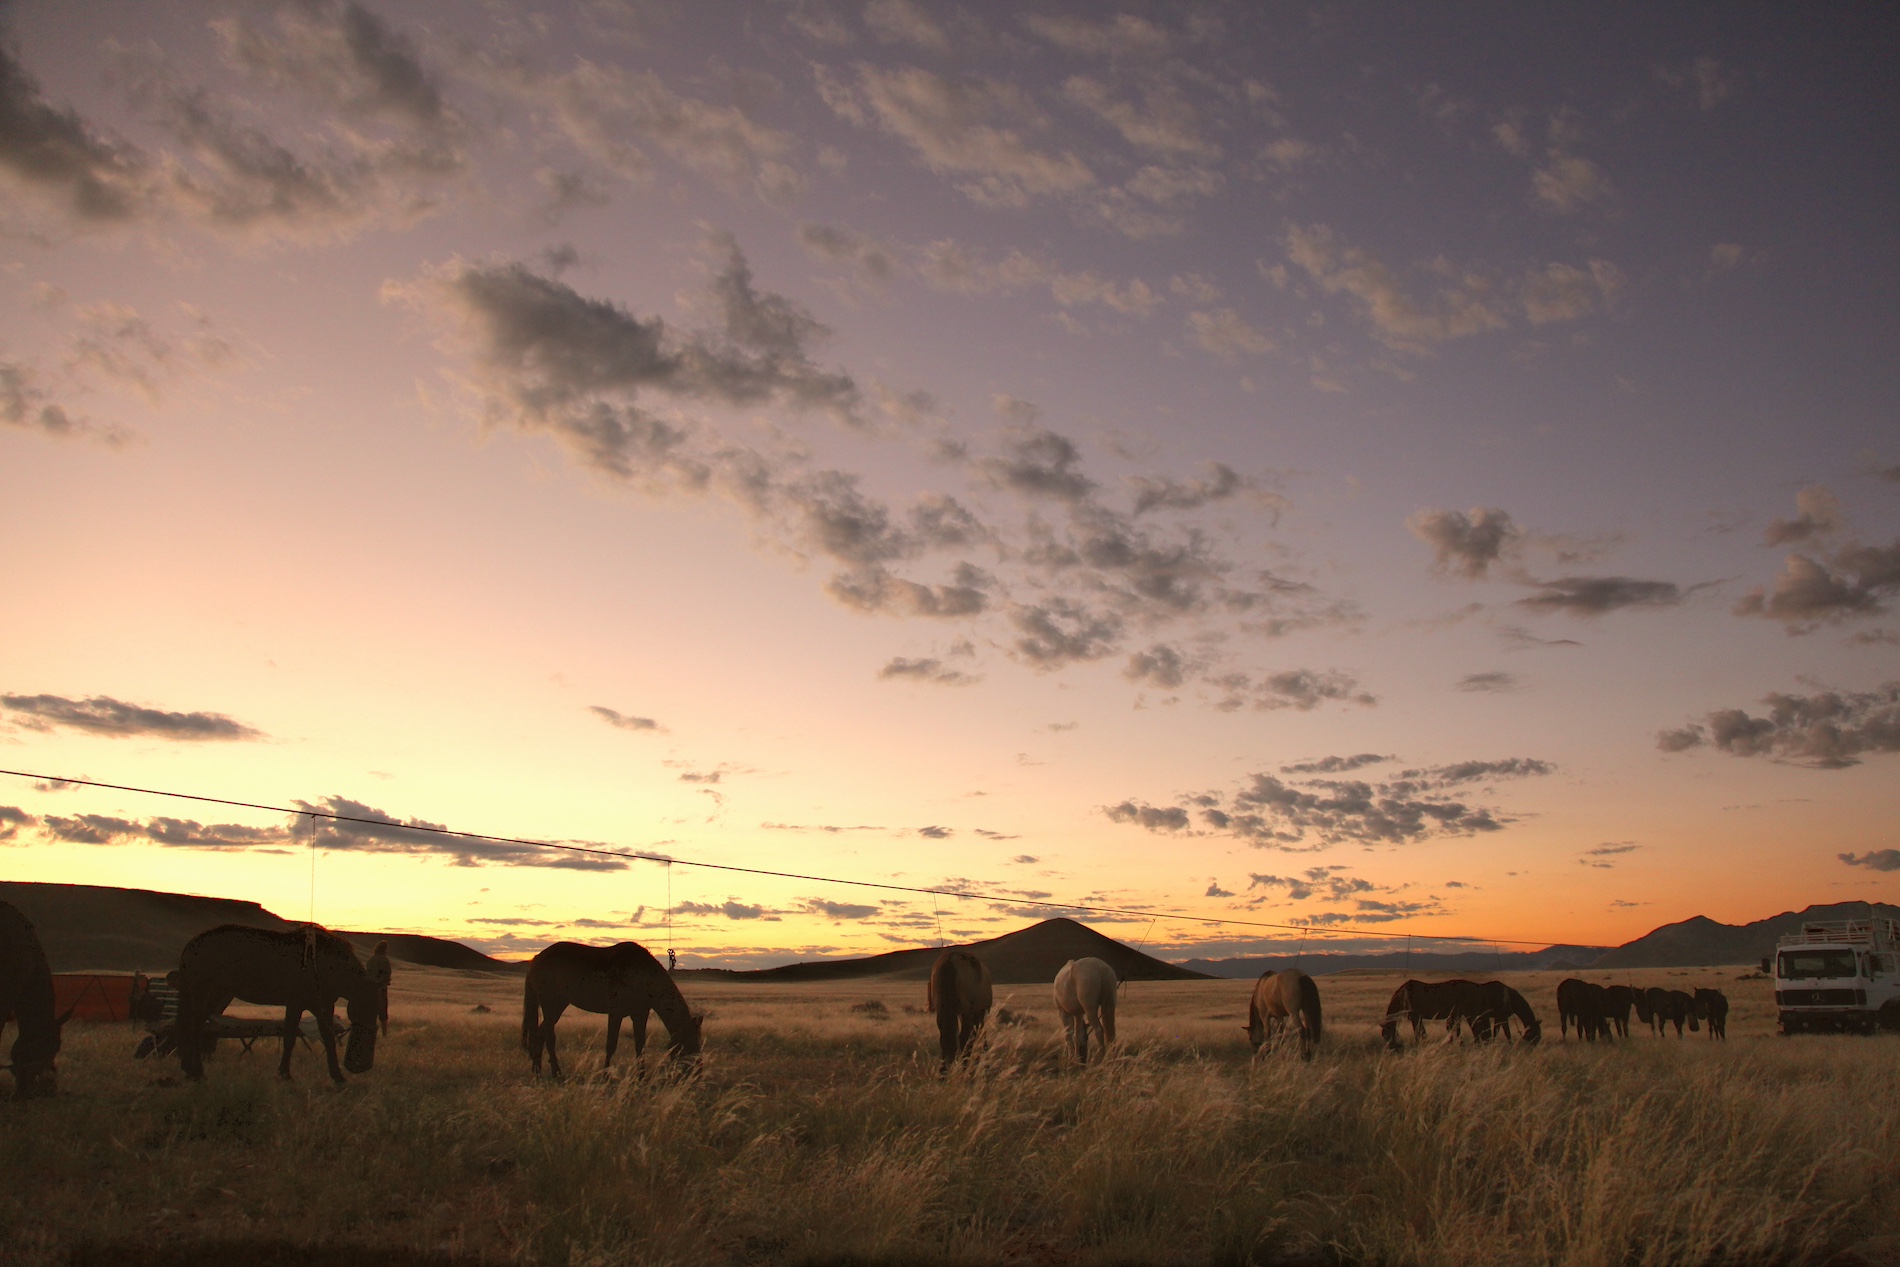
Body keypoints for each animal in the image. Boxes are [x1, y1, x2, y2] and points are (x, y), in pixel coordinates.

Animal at [171, 926, 378, 1086]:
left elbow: (327, 1038)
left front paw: (337, 1076)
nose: (361, 1066)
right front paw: (285, 1074)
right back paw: (197, 1073)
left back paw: (189, 1070)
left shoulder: (322, 1006)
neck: (324, 964)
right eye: (368, 1007)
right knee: (194, 1029)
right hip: (203, 993)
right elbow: (290, 1039)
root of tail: (191, 945)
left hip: (216, 996)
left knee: (191, 1027)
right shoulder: (296, 1003)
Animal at [524, 942, 703, 1078]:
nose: (698, 1074)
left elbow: (640, 1045)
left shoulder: (640, 1014)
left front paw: (641, 1077)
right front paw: (606, 1076)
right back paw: (553, 1073)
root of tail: (537, 958)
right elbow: (611, 1045)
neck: (641, 976)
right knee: (547, 1035)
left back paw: (540, 1070)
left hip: (559, 1004)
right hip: (551, 1004)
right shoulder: (615, 1013)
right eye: (689, 1043)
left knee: (541, 1034)